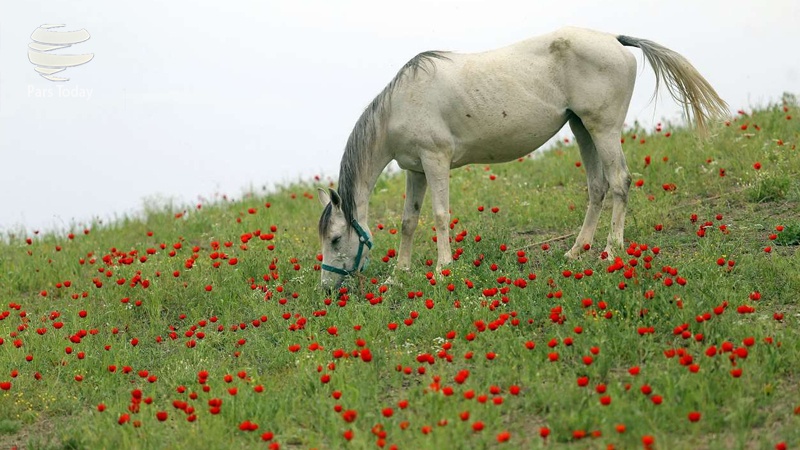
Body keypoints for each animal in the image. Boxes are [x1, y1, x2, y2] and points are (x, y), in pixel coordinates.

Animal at [316, 26, 728, 288]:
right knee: (597, 187)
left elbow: (440, 216)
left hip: (603, 129)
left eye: (335, 239)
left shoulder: (435, 162)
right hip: (582, 128)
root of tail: (614, 39)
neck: (401, 104)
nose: (327, 288)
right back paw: (575, 252)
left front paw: (443, 269)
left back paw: (610, 251)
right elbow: (408, 221)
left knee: (619, 182)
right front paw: (398, 274)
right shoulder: (414, 169)